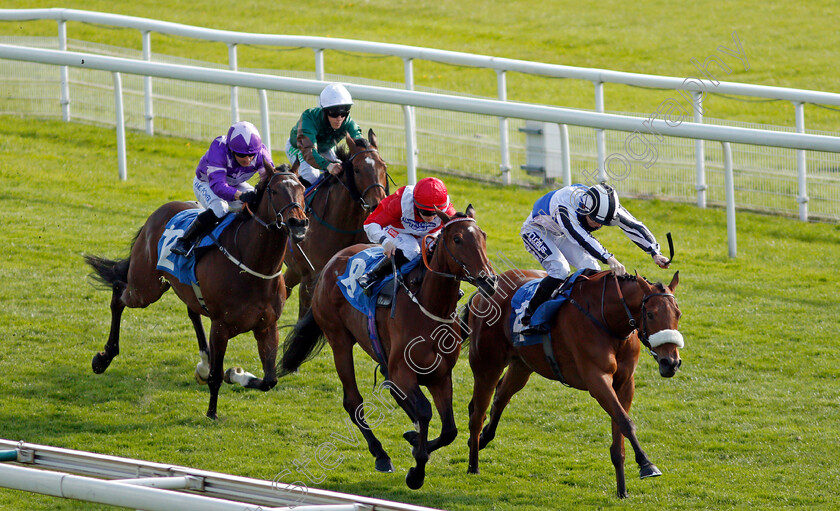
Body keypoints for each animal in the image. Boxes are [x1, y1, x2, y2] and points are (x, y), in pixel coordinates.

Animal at [83, 163, 308, 420]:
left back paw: (203, 363)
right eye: (274, 190)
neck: (252, 266)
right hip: (145, 288)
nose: (298, 223)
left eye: (302, 188)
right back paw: (103, 358)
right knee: (119, 294)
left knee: (192, 313)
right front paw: (212, 412)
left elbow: (270, 380)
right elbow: (217, 376)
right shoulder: (221, 326)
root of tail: (157, 213)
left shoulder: (267, 326)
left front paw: (236, 374)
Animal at [276, 206, 498, 490]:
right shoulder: (404, 371)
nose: (489, 281)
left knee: (391, 388)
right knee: (353, 401)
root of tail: (332, 262)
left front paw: (415, 441)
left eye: (483, 236)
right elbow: (425, 411)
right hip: (339, 340)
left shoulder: (440, 374)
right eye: (457, 239)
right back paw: (381, 455)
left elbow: (449, 429)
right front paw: (416, 471)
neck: (429, 306)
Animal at [280, 130, 388, 318]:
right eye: (357, 170)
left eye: (384, 166)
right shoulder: (312, 277)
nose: (378, 204)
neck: (345, 225)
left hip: (294, 268)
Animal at [466, 270, 684, 498]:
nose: (671, 363)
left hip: (522, 364)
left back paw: (482, 439)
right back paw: (473, 464)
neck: (607, 320)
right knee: (477, 412)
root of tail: (483, 291)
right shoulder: (596, 379)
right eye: (650, 314)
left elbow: (619, 433)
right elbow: (626, 422)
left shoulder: (625, 384)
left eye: (678, 314)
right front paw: (646, 464)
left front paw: (622, 490)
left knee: (500, 397)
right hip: (487, 364)